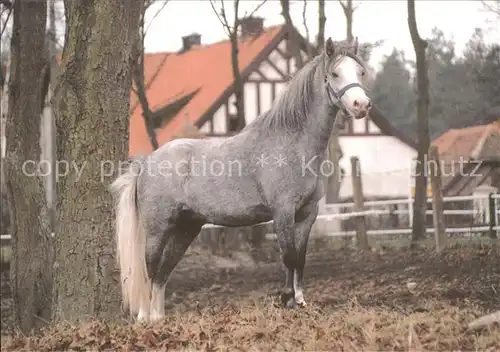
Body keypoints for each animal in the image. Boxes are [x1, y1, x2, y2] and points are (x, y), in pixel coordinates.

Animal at [111, 37, 374, 324]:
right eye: (334, 74)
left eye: (360, 72)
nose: (361, 105)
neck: (292, 142)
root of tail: (146, 163)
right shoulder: (283, 212)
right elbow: (288, 256)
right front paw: (286, 300)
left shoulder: (308, 214)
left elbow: (300, 258)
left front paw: (300, 301)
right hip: (158, 228)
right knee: (149, 267)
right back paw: (144, 317)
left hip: (186, 228)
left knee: (163, 272)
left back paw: (158, 318)